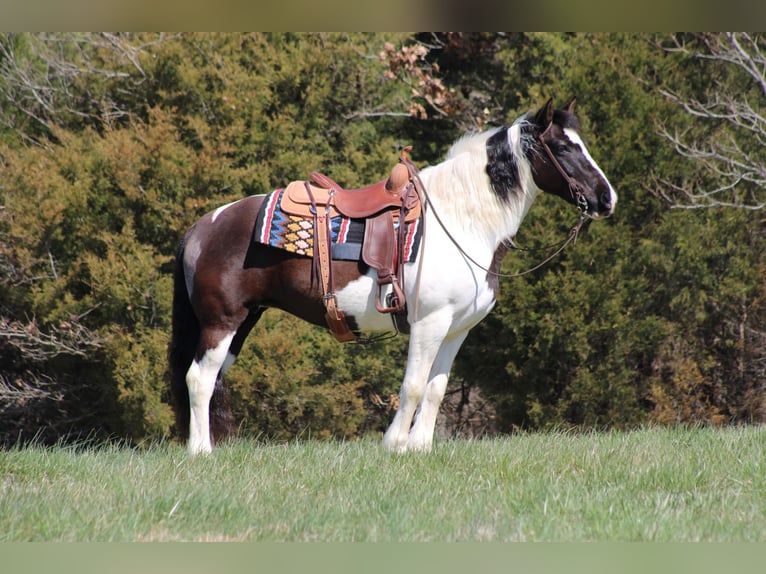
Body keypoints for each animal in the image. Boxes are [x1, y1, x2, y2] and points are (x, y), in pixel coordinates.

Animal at [168, 97, 616, 456]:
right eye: (563, 146)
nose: (606, 198)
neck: (461, 220)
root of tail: (202, 228)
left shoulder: (457, 329)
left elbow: (436, 388)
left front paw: (421, 447)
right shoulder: (430, 322)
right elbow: (413, 385)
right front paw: (396, 445)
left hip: (242, 323)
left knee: (213, 380)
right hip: (221, 322)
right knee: (199, 379)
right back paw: (200, 452)